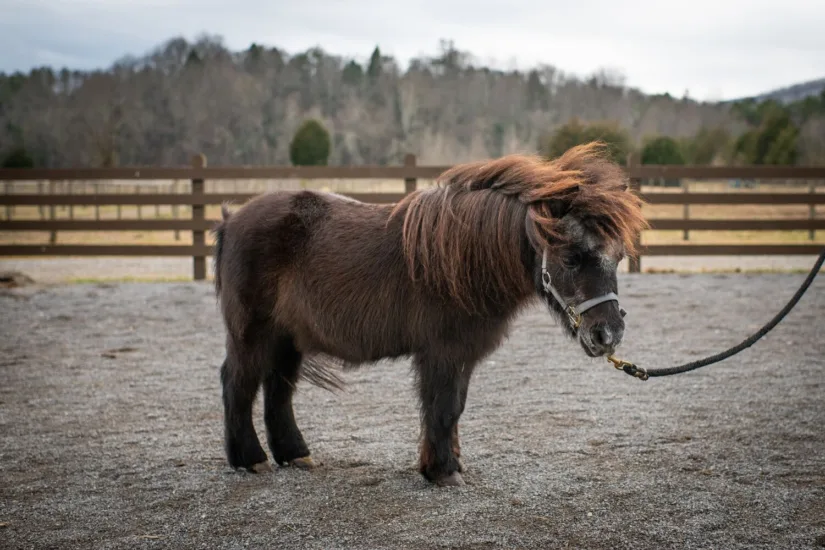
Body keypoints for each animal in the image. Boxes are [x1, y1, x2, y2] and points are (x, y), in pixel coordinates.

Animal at [211, 141, 648, 487]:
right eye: (572, 258)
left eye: (617, 257)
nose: (607, 335)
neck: (464, 259)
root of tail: (232, 220)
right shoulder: (442, 352)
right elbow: (443, 406)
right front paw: (442, 471)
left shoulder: (462, 355)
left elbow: (454, 408)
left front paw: (448, 463)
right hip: (251, 333)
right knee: (237, 384)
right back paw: (250, 460)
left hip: (287, 338)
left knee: (278, 389)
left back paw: (294, 454)